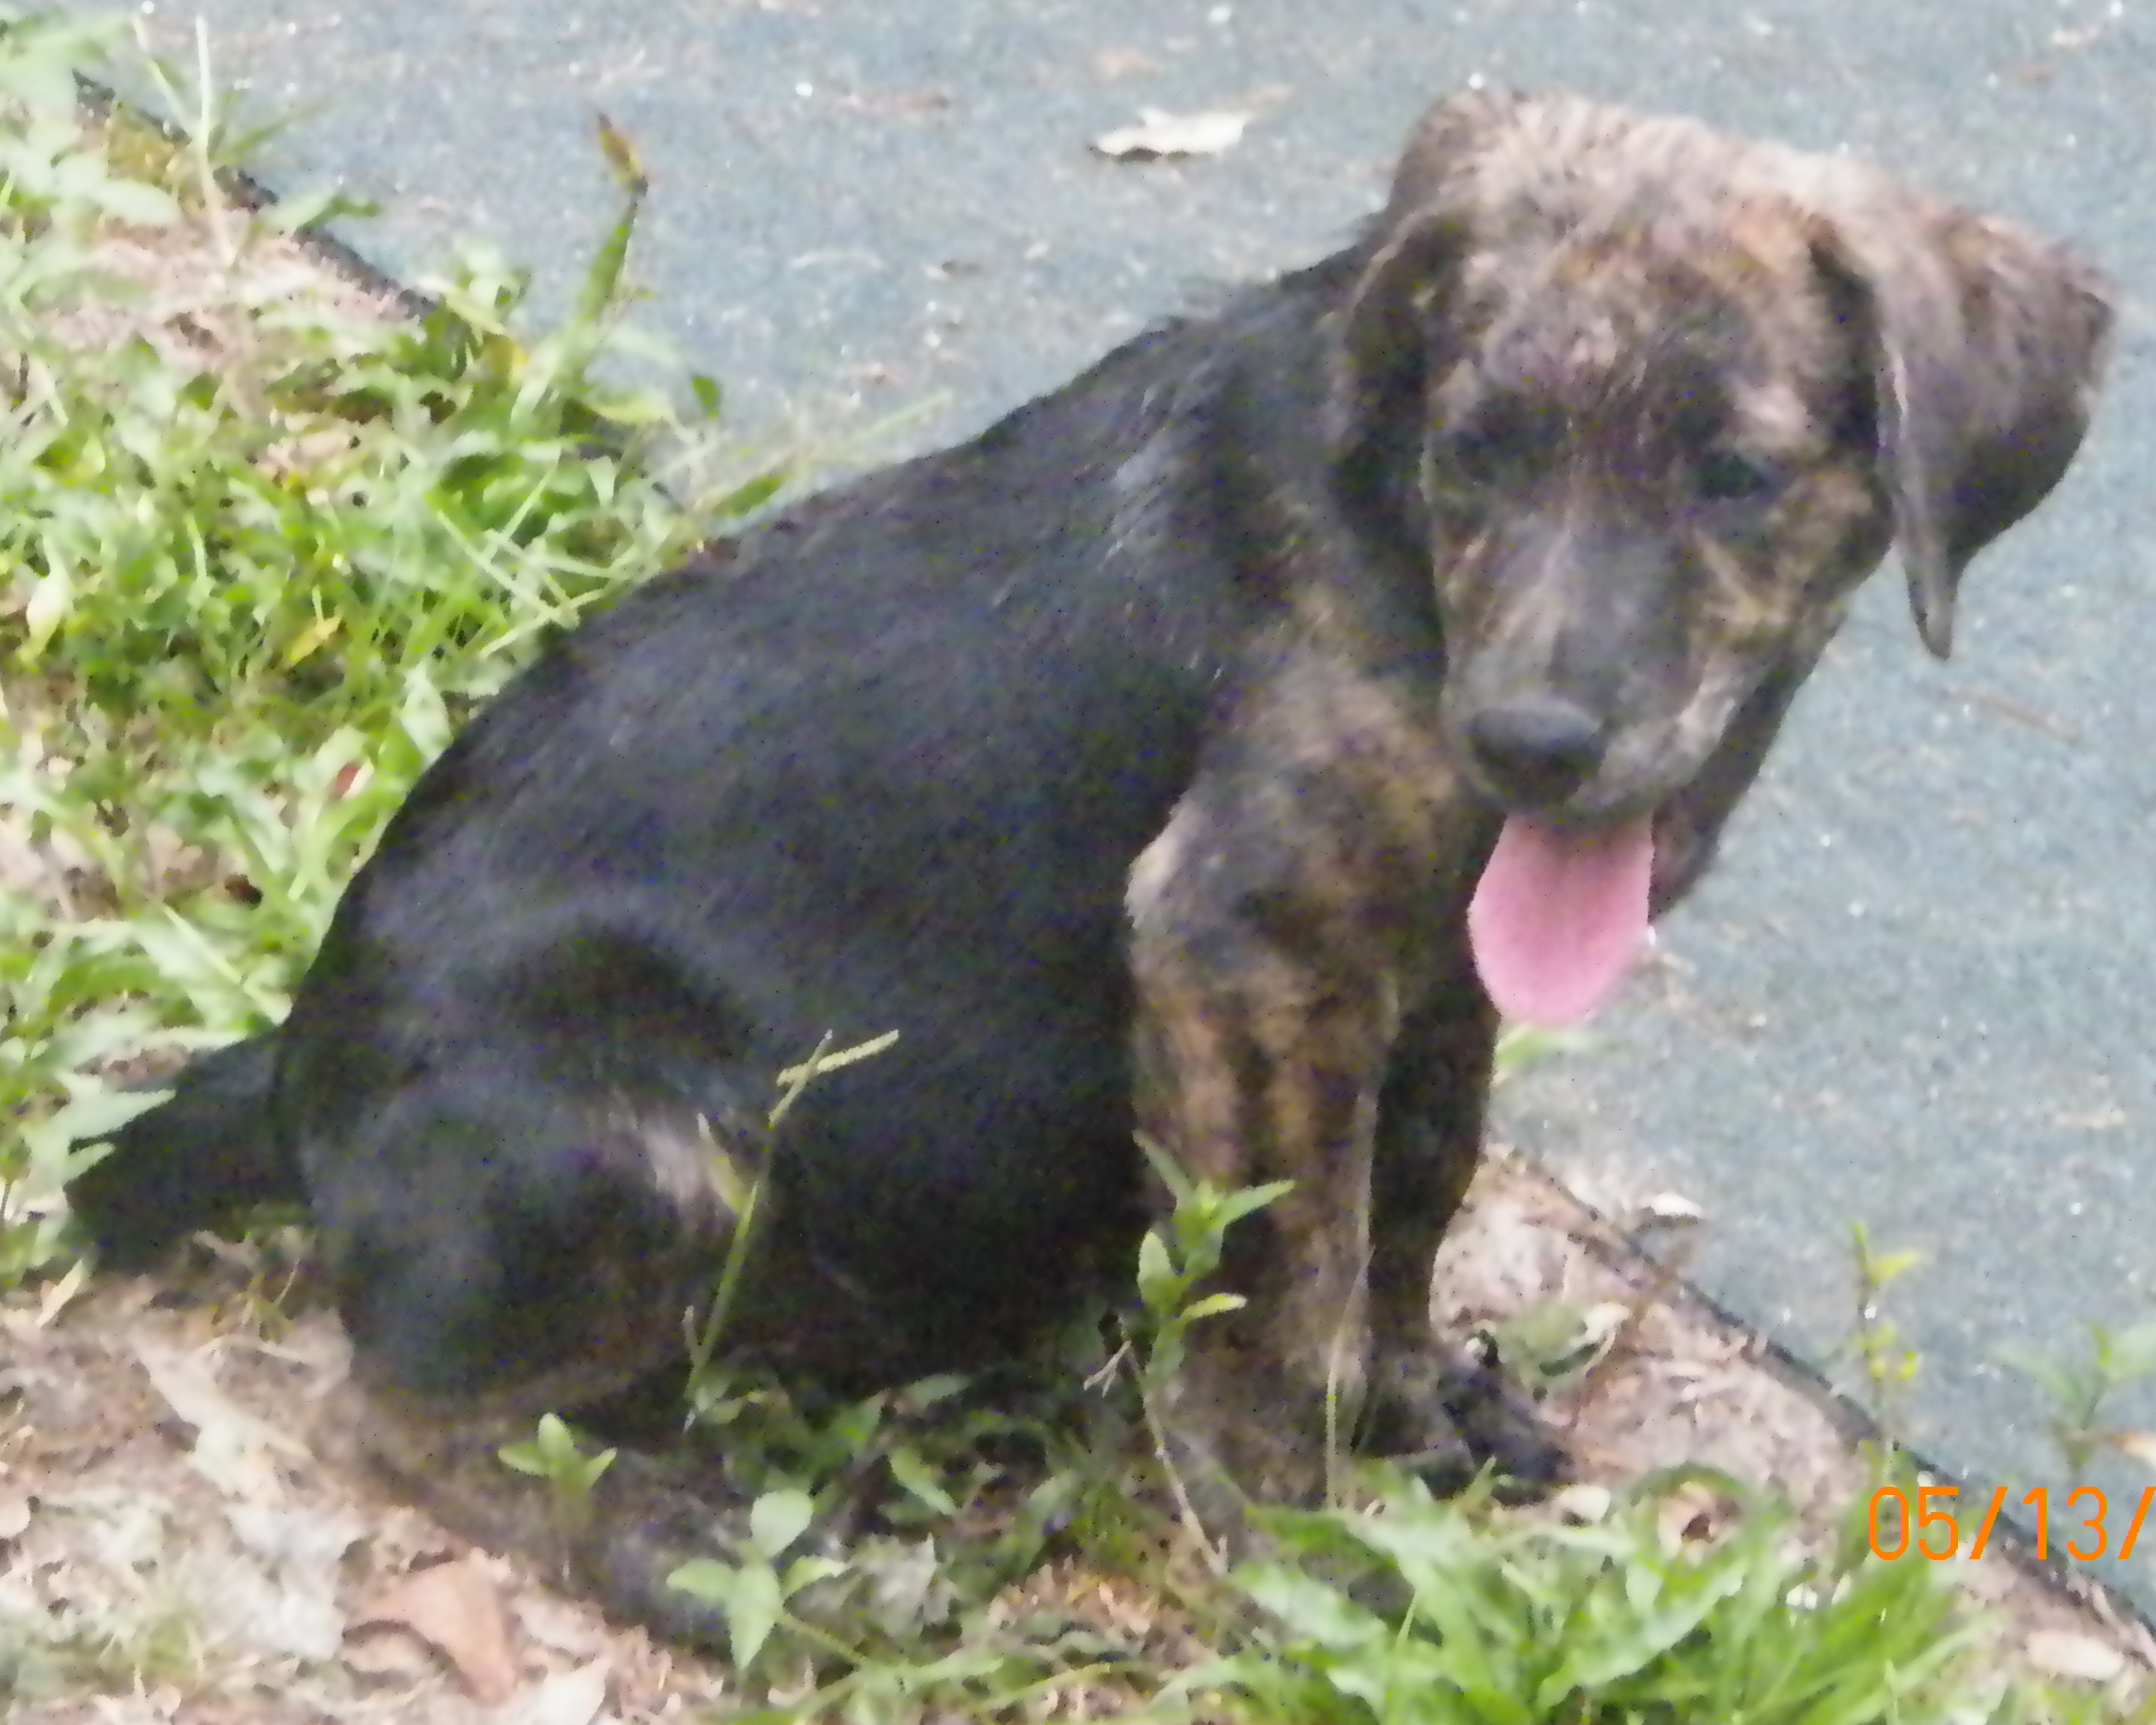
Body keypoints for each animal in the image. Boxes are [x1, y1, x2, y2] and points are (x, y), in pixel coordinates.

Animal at [63, 91, 2104, 1647]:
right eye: (1475, 452)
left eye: (1731, 476)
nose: (1527, 742)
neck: (1397, 548)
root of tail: (297, 1063)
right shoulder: (1243, 941)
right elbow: (1275, 1286)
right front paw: (1305, 1550)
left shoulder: (1427, 977)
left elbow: (1407, 1196)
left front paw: (1410, 1399)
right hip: (648, 1152)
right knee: (386, 1415)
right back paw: (679, 1550)